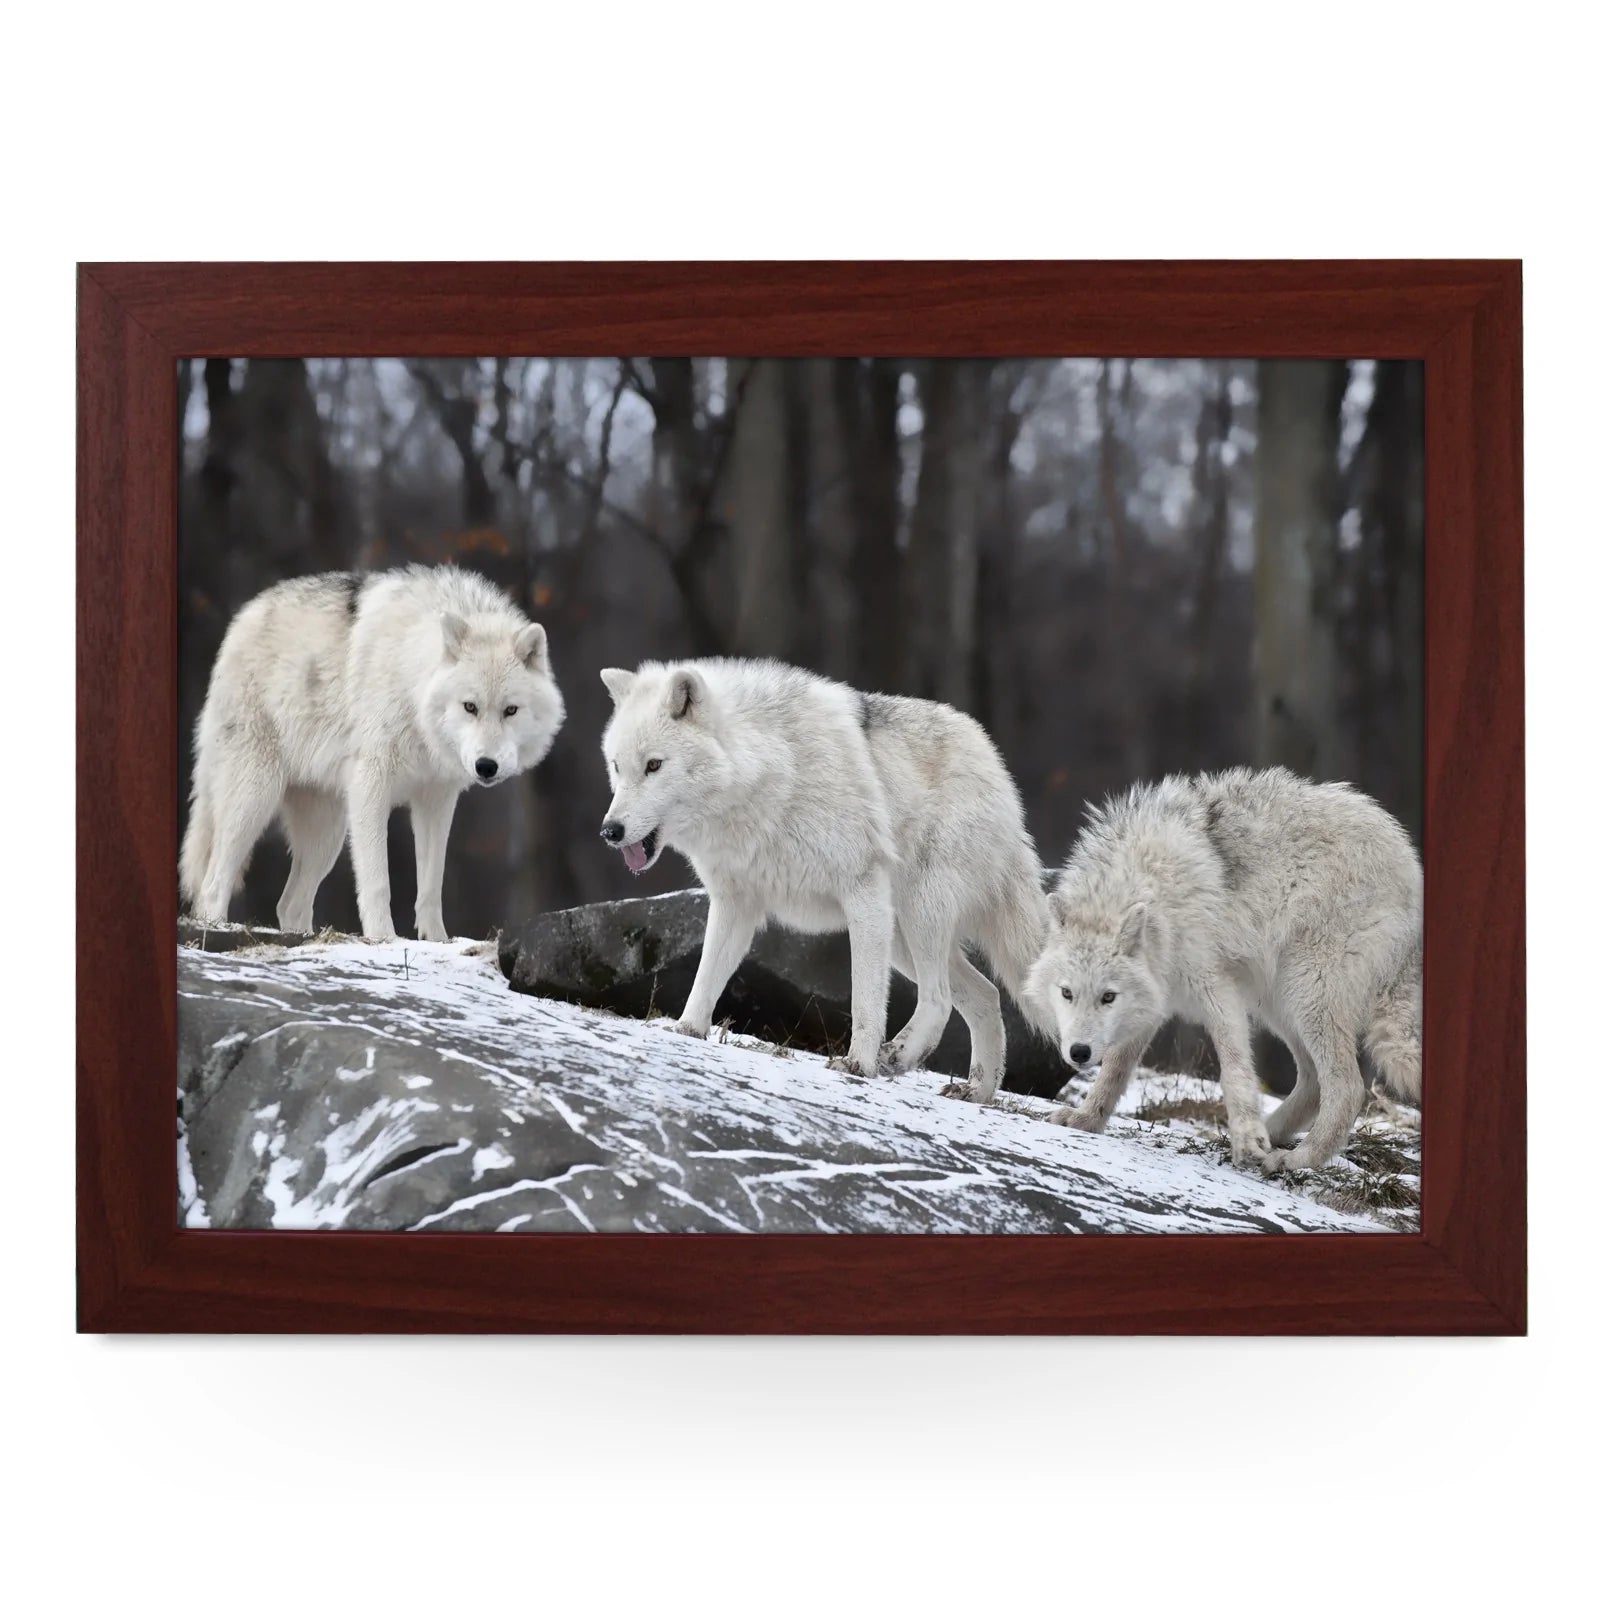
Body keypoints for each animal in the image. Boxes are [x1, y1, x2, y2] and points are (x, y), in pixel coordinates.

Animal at [180, 565, 565, 941]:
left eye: (510, 710)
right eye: (470, 707)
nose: (486, 766)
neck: (411, 682)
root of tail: (242, 618)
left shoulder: (436, 798)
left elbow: (431, 886)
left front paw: (437, 941)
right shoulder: (371, 785)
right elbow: (378, 881)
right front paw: (383, 938)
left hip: (327, 834)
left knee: (289, 904)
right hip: (255, 800)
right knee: (213, 884)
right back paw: (218, 928)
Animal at [596, 658, 1050, 1097]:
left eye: (654, 765)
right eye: (617, 767)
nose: (610, 830)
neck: (769, 775)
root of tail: (994, 761)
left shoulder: (862, 892)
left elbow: (865, 998)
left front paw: (858, 1065)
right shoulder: (735, 903)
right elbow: (706, 976)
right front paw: (687, 1031)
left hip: (917, 914)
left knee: (938, 999)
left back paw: (899, 1058)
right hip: (901, 937)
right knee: (986, 995)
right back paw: (977, 1091)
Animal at [1024, 768, 1421, 1172]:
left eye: (1107, 997)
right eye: (1067, 993)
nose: (1079, 1052)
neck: (1154, 887)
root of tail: (1409, 863)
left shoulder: (1216, 988)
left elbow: (1234, 1070)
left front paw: (1247, 1138)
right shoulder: (1154, 999)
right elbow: (1115, 1070)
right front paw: (1086, 1119)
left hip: (1306, 993)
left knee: (1348, 1088)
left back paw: (1298, 1158)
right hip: (1278, 1002)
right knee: (1312, 1083)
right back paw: (1270, 1136)